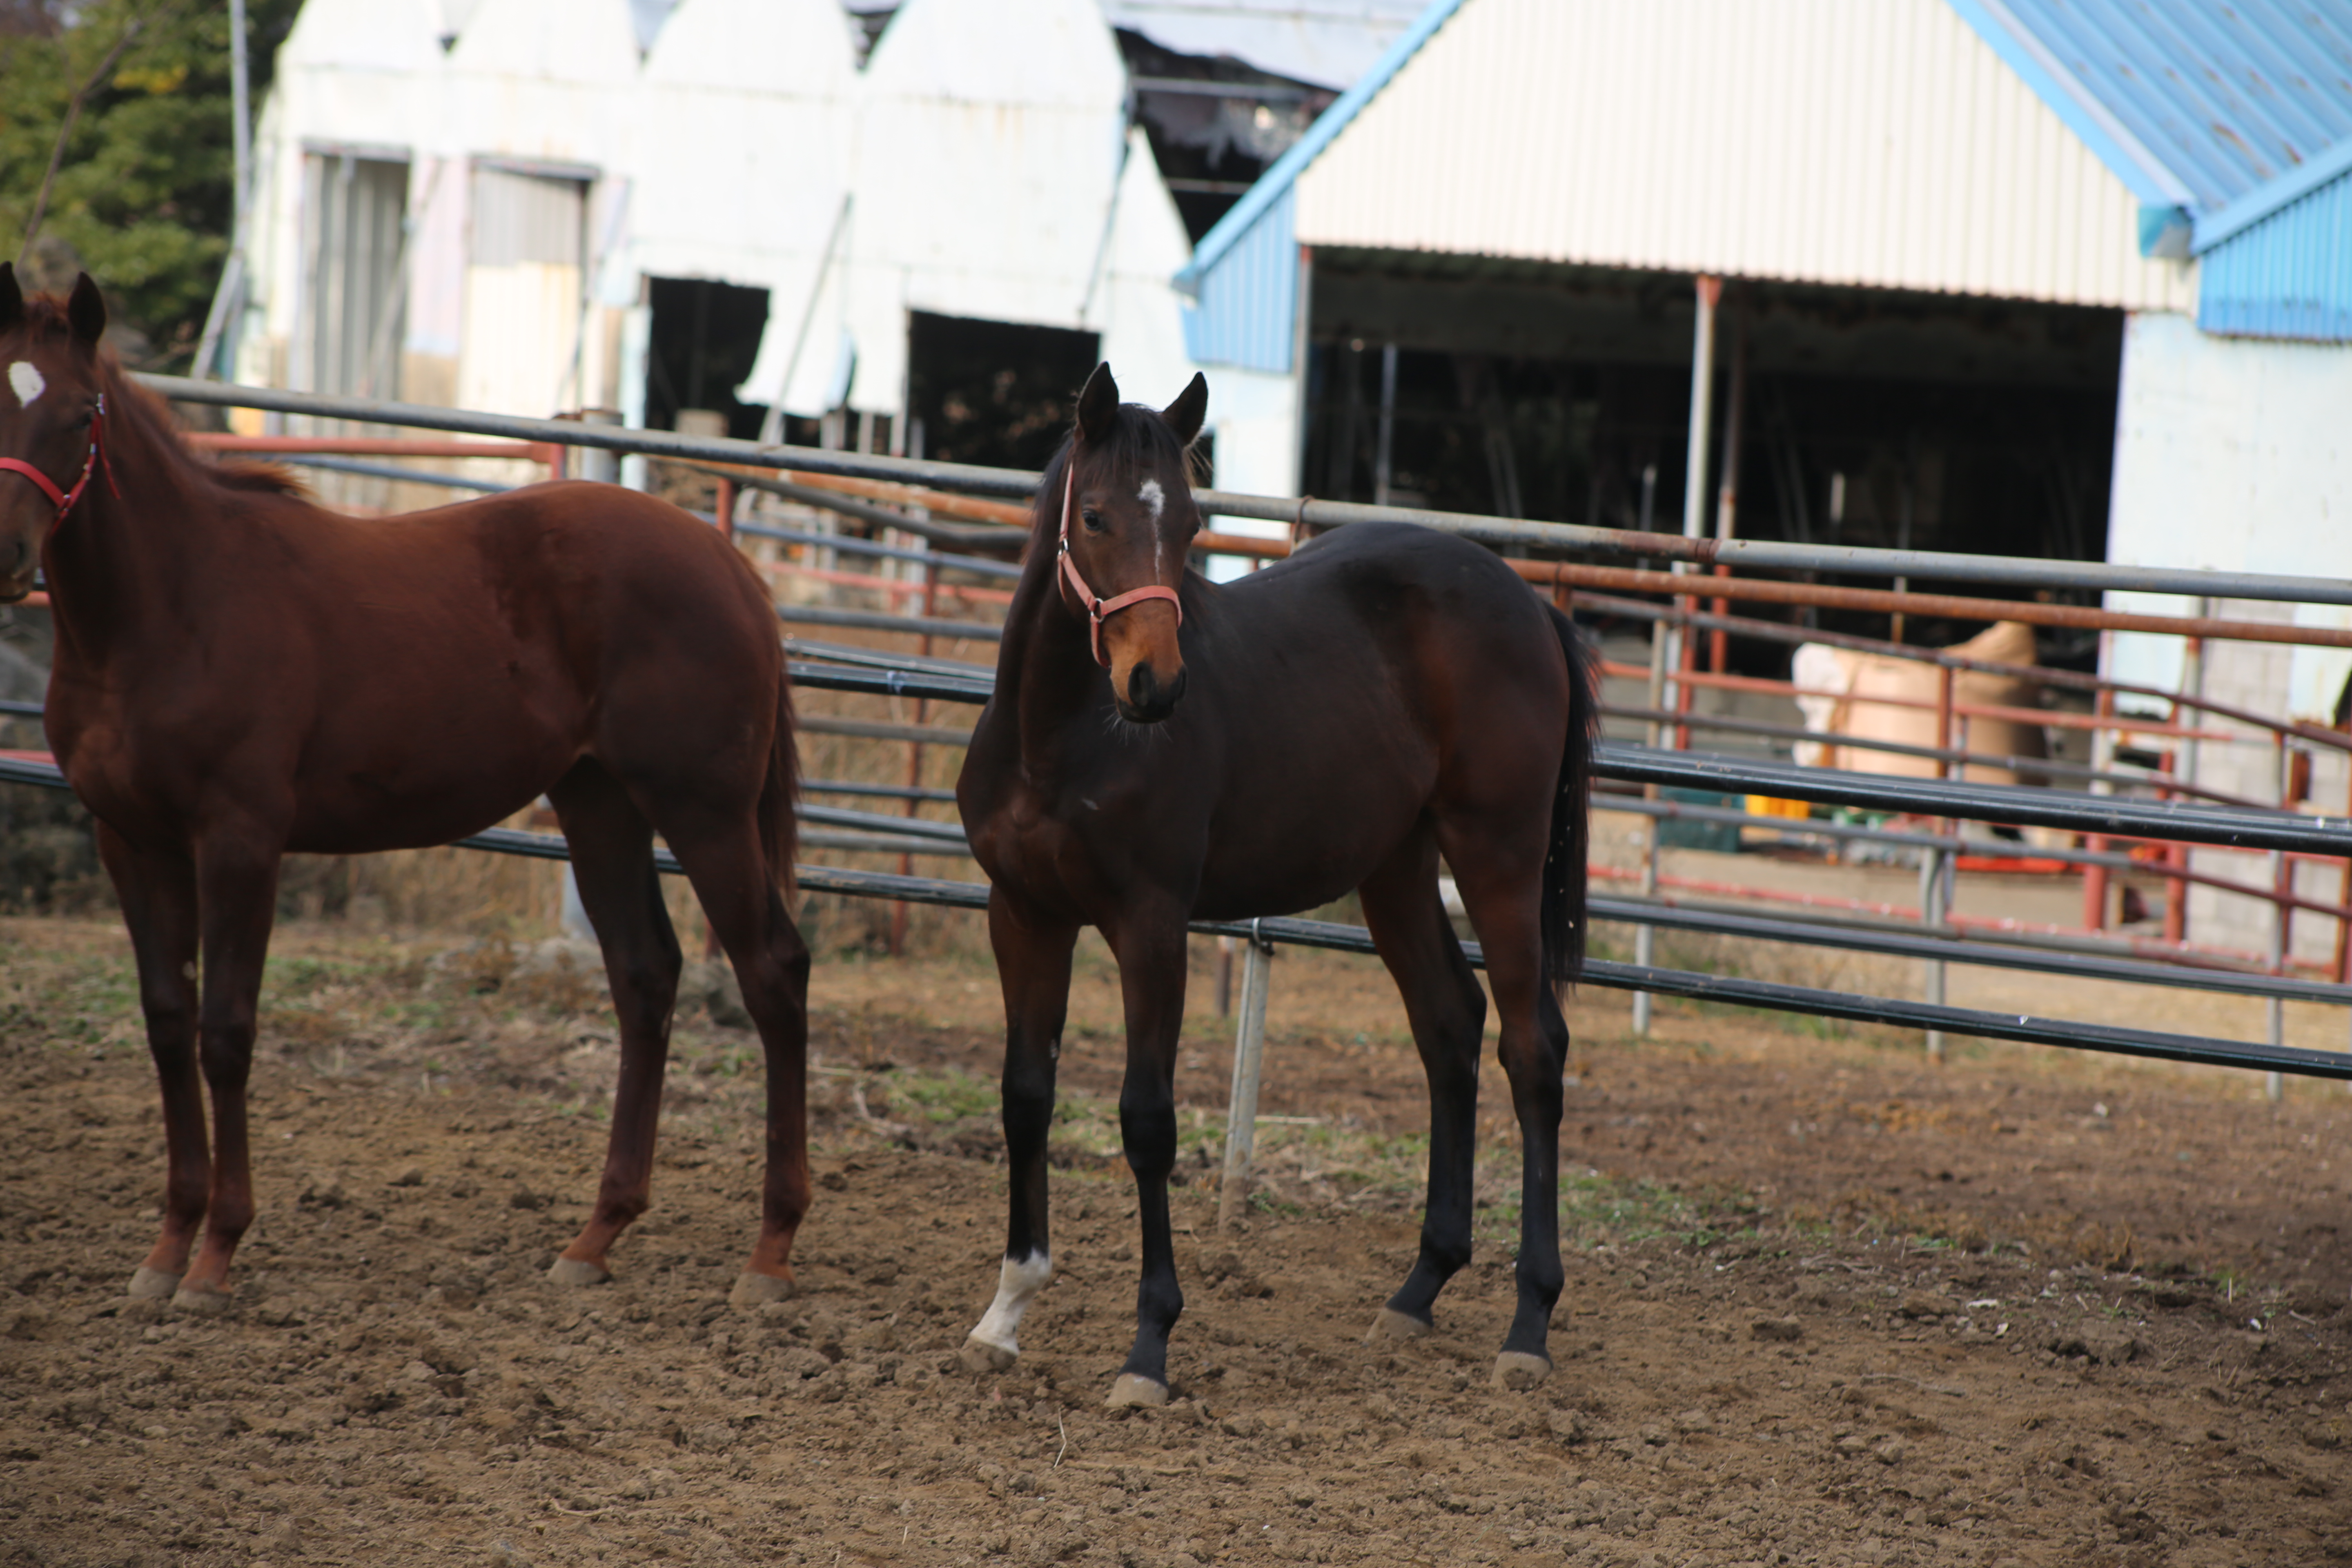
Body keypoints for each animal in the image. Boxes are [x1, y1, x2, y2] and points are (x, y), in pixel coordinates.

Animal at [955, 364, 1599, 1410]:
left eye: (1187, 524)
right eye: (1093, 516)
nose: (1155, 687)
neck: (1060, 736)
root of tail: (1526, 602)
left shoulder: (1150, 926)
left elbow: (1146, 1120)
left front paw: (1148, 1349)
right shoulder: (1023, 916)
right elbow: (1024, 1097)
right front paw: (1005, 1314)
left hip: (1495, 856)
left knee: (1530, 1048)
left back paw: (1528, 1324)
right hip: (1396, 868)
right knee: (1449, 1028)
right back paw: (1417, 1290)